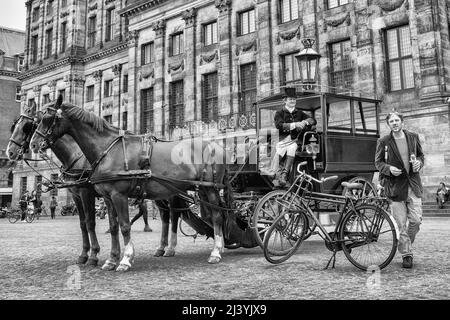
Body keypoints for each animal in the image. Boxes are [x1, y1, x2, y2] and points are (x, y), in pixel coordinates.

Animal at [6, 102, 100, 264]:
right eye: (15, 125)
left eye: (26, 126)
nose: (10, 152)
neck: (75, 156)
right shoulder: (76, 195)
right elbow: (82, 223)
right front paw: (84, 254)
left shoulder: (86, 192)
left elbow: (90, 222)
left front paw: (93, 255)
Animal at [29, 96, 236, 272]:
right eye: (36, 121)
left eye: (47, 118)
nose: (33, 144)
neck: (107, 149)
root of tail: (218, 147)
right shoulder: (107, 197)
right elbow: (113, 226)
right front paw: (111, 260)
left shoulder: (117, 195)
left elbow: (124, 225)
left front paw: (125, 259)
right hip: (197, 190)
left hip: (210, 188)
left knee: (217, 216)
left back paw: (215, 252)